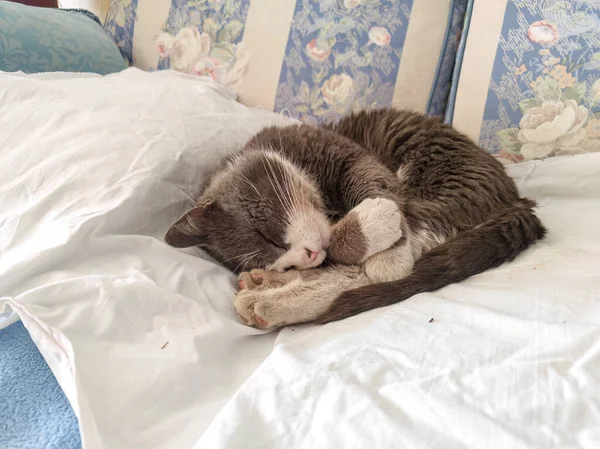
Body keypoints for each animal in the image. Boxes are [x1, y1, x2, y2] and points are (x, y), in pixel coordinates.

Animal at [165, 107, 548, 328]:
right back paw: (266, 290)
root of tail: (517, 201)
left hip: (447, 176)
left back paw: (270, 300)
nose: (304, 259)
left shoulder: (346, 155)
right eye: (279, 259)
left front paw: (370, 230)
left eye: (268, 237)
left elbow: (373, 190)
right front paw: (275, 275)